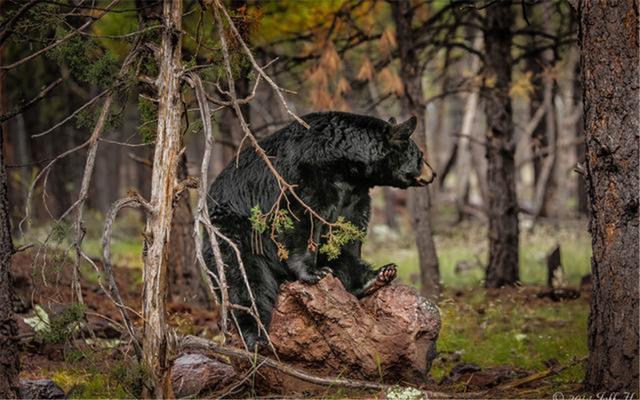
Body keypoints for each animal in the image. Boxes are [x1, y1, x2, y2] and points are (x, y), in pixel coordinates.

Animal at [205, 111, 436, 346]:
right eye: (420, 155)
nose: (433, 173)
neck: (344, 162)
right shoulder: (306, 176)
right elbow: (303, 219)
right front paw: (311, 272)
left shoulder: (354, 193)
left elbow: (349, 231)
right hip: (236, 233)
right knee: (244, 279)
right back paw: (256, 334)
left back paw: (379, 275)